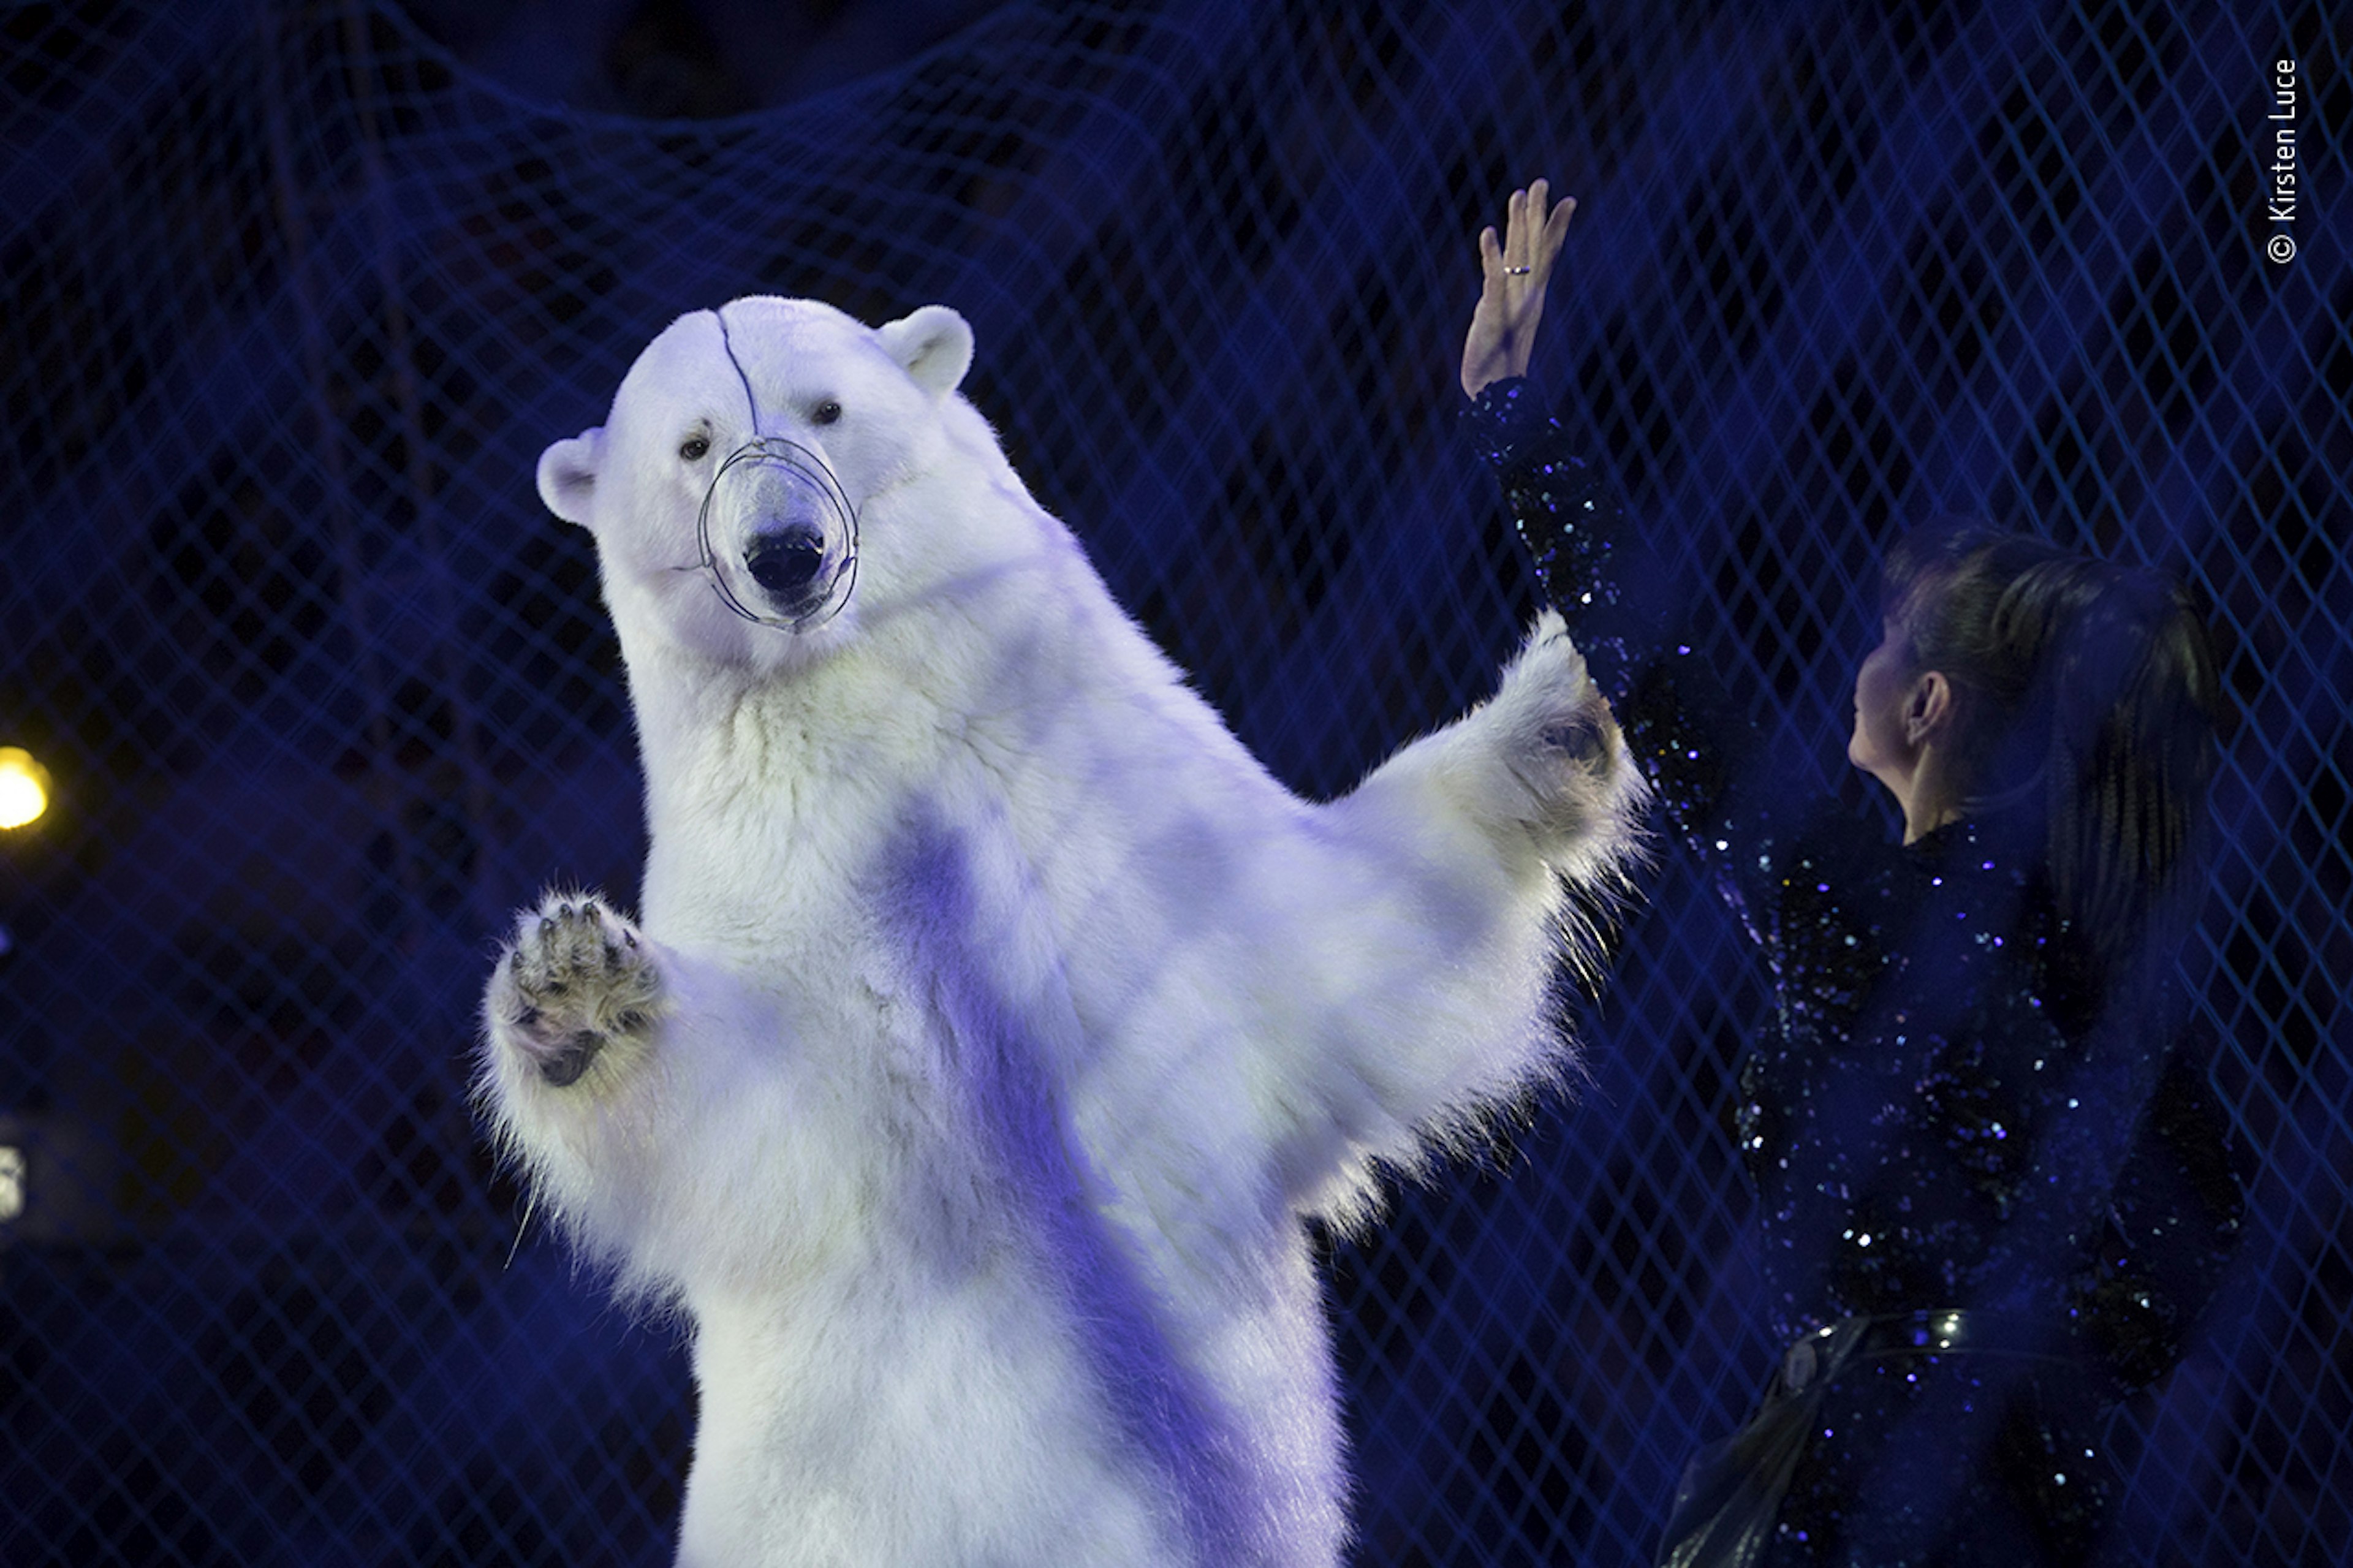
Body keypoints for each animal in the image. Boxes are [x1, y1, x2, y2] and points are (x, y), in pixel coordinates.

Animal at [482, 297, 1637, 1563]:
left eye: (825, 407)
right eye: (693, 444)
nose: (787, 552)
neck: (869, 706)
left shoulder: (1107, 774)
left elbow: (1328, 943)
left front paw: (1563, 700)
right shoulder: (769, 869)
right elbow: (768, 1118)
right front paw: (576, 993)